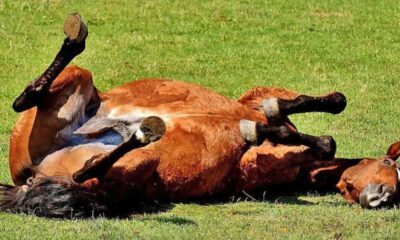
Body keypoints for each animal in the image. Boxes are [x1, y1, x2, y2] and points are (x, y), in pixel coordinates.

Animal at [0, 13, 396, 218]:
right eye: (391, 164)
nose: (382, 197)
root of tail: (28, 178)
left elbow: (310, 133)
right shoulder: (256, 100)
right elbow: (307, 117)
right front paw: (269, 124)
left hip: (133, 165)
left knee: (87, 169)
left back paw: (142, 131)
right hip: (79, 84)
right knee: (28, 99)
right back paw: (75, 40)